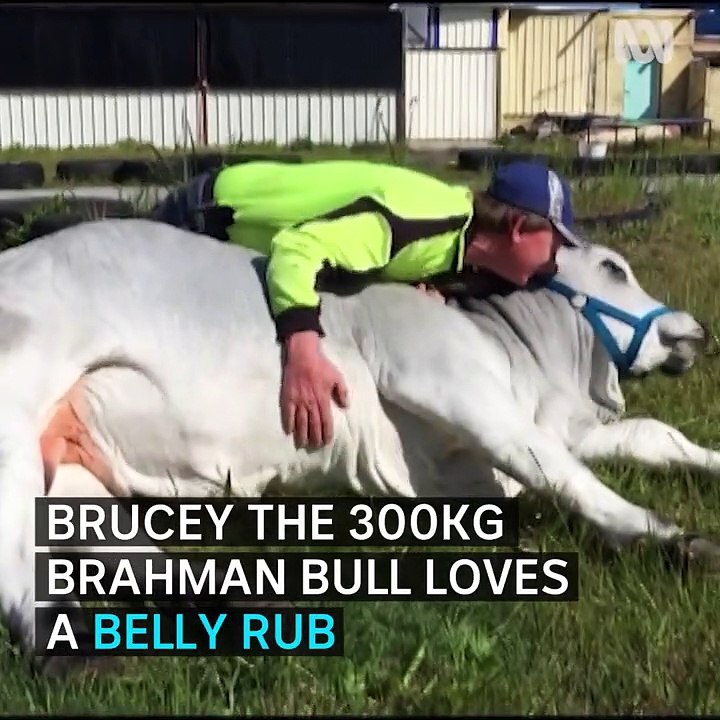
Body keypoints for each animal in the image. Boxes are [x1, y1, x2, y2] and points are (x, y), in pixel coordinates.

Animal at [0, 218, 717, 678]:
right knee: (19, 572)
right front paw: (669, 537)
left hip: (75, 467)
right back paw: (71, 656)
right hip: (15, 414)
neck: (533, 365)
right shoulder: (442, 377)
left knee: (132, 557)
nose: (696, 329)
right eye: (613, 268)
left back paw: (251, 615)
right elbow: (555, 469)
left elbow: (648, 436)